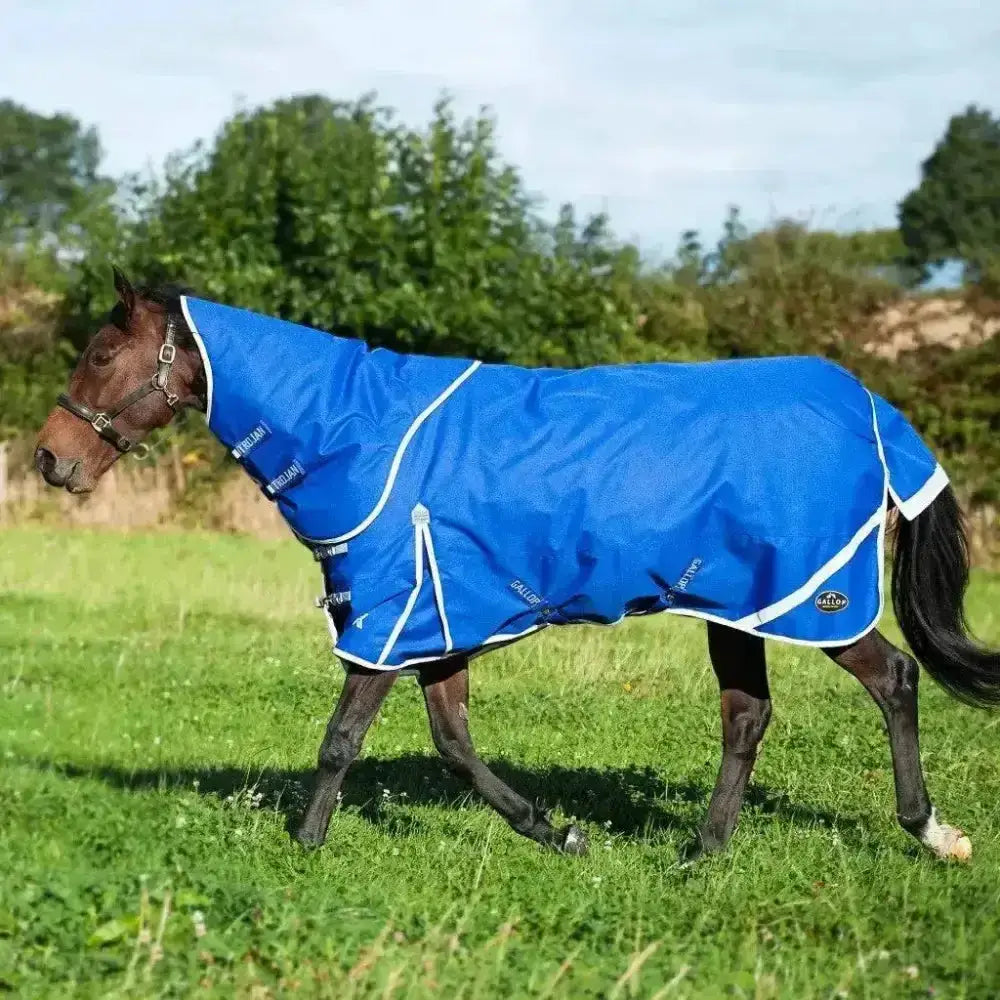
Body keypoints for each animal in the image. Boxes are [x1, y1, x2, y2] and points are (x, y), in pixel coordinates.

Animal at [35, 268, 1000, 862]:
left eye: (102, 354)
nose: (50, 460)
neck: (356, 428)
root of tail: (868, 404)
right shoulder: (436, 620)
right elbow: (455, 745)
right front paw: (556, 832)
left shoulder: (386, 615)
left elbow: (342, 738)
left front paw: (306, 844)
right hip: (737, 606)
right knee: (747, 717)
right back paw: (702, 849)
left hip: (809, 598)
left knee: (893, 682)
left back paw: (929, 831)